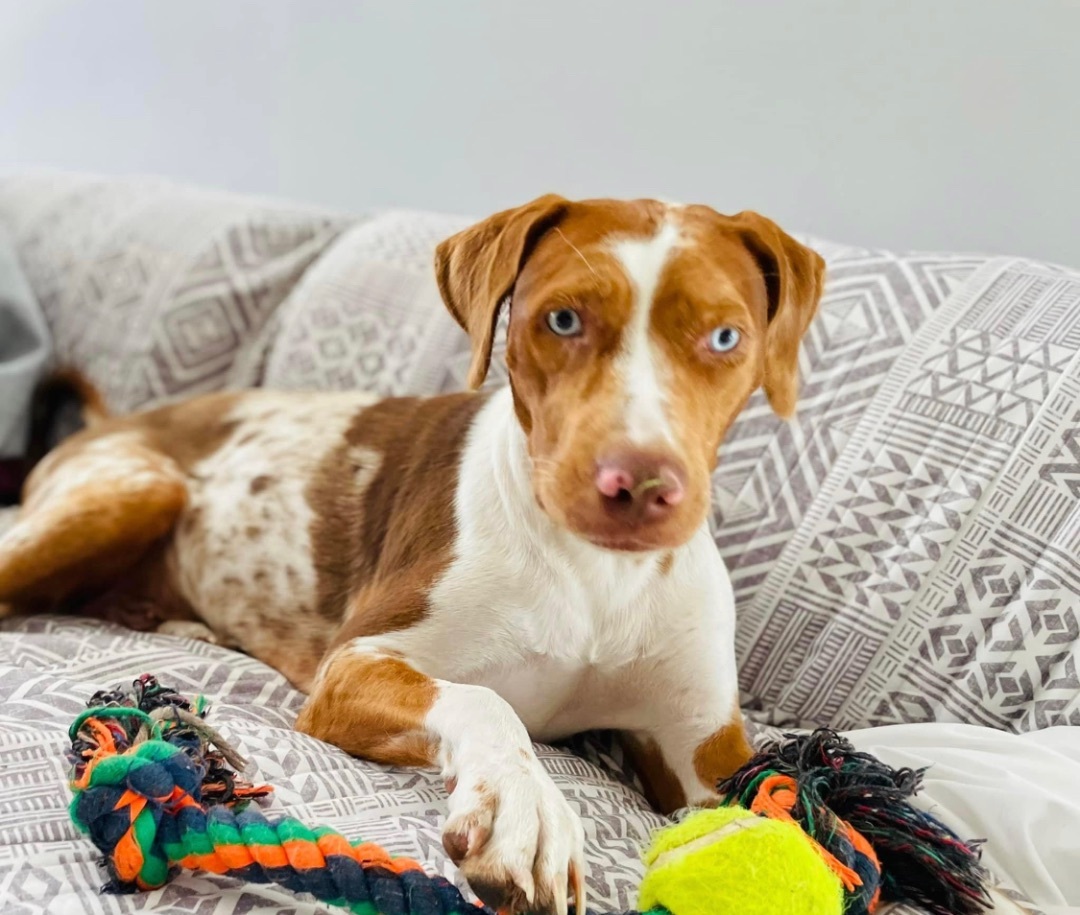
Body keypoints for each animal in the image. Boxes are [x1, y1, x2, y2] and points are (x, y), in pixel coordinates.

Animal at [0, 195, 824, 914]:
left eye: (726, 337)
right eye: (562, 319)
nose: (640, 482)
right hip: (137, 487)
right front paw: (524, 809)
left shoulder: (702, 753)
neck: (596, 576)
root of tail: (111, 421)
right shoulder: (353, 667)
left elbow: (750, 807)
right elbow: (485, 699)